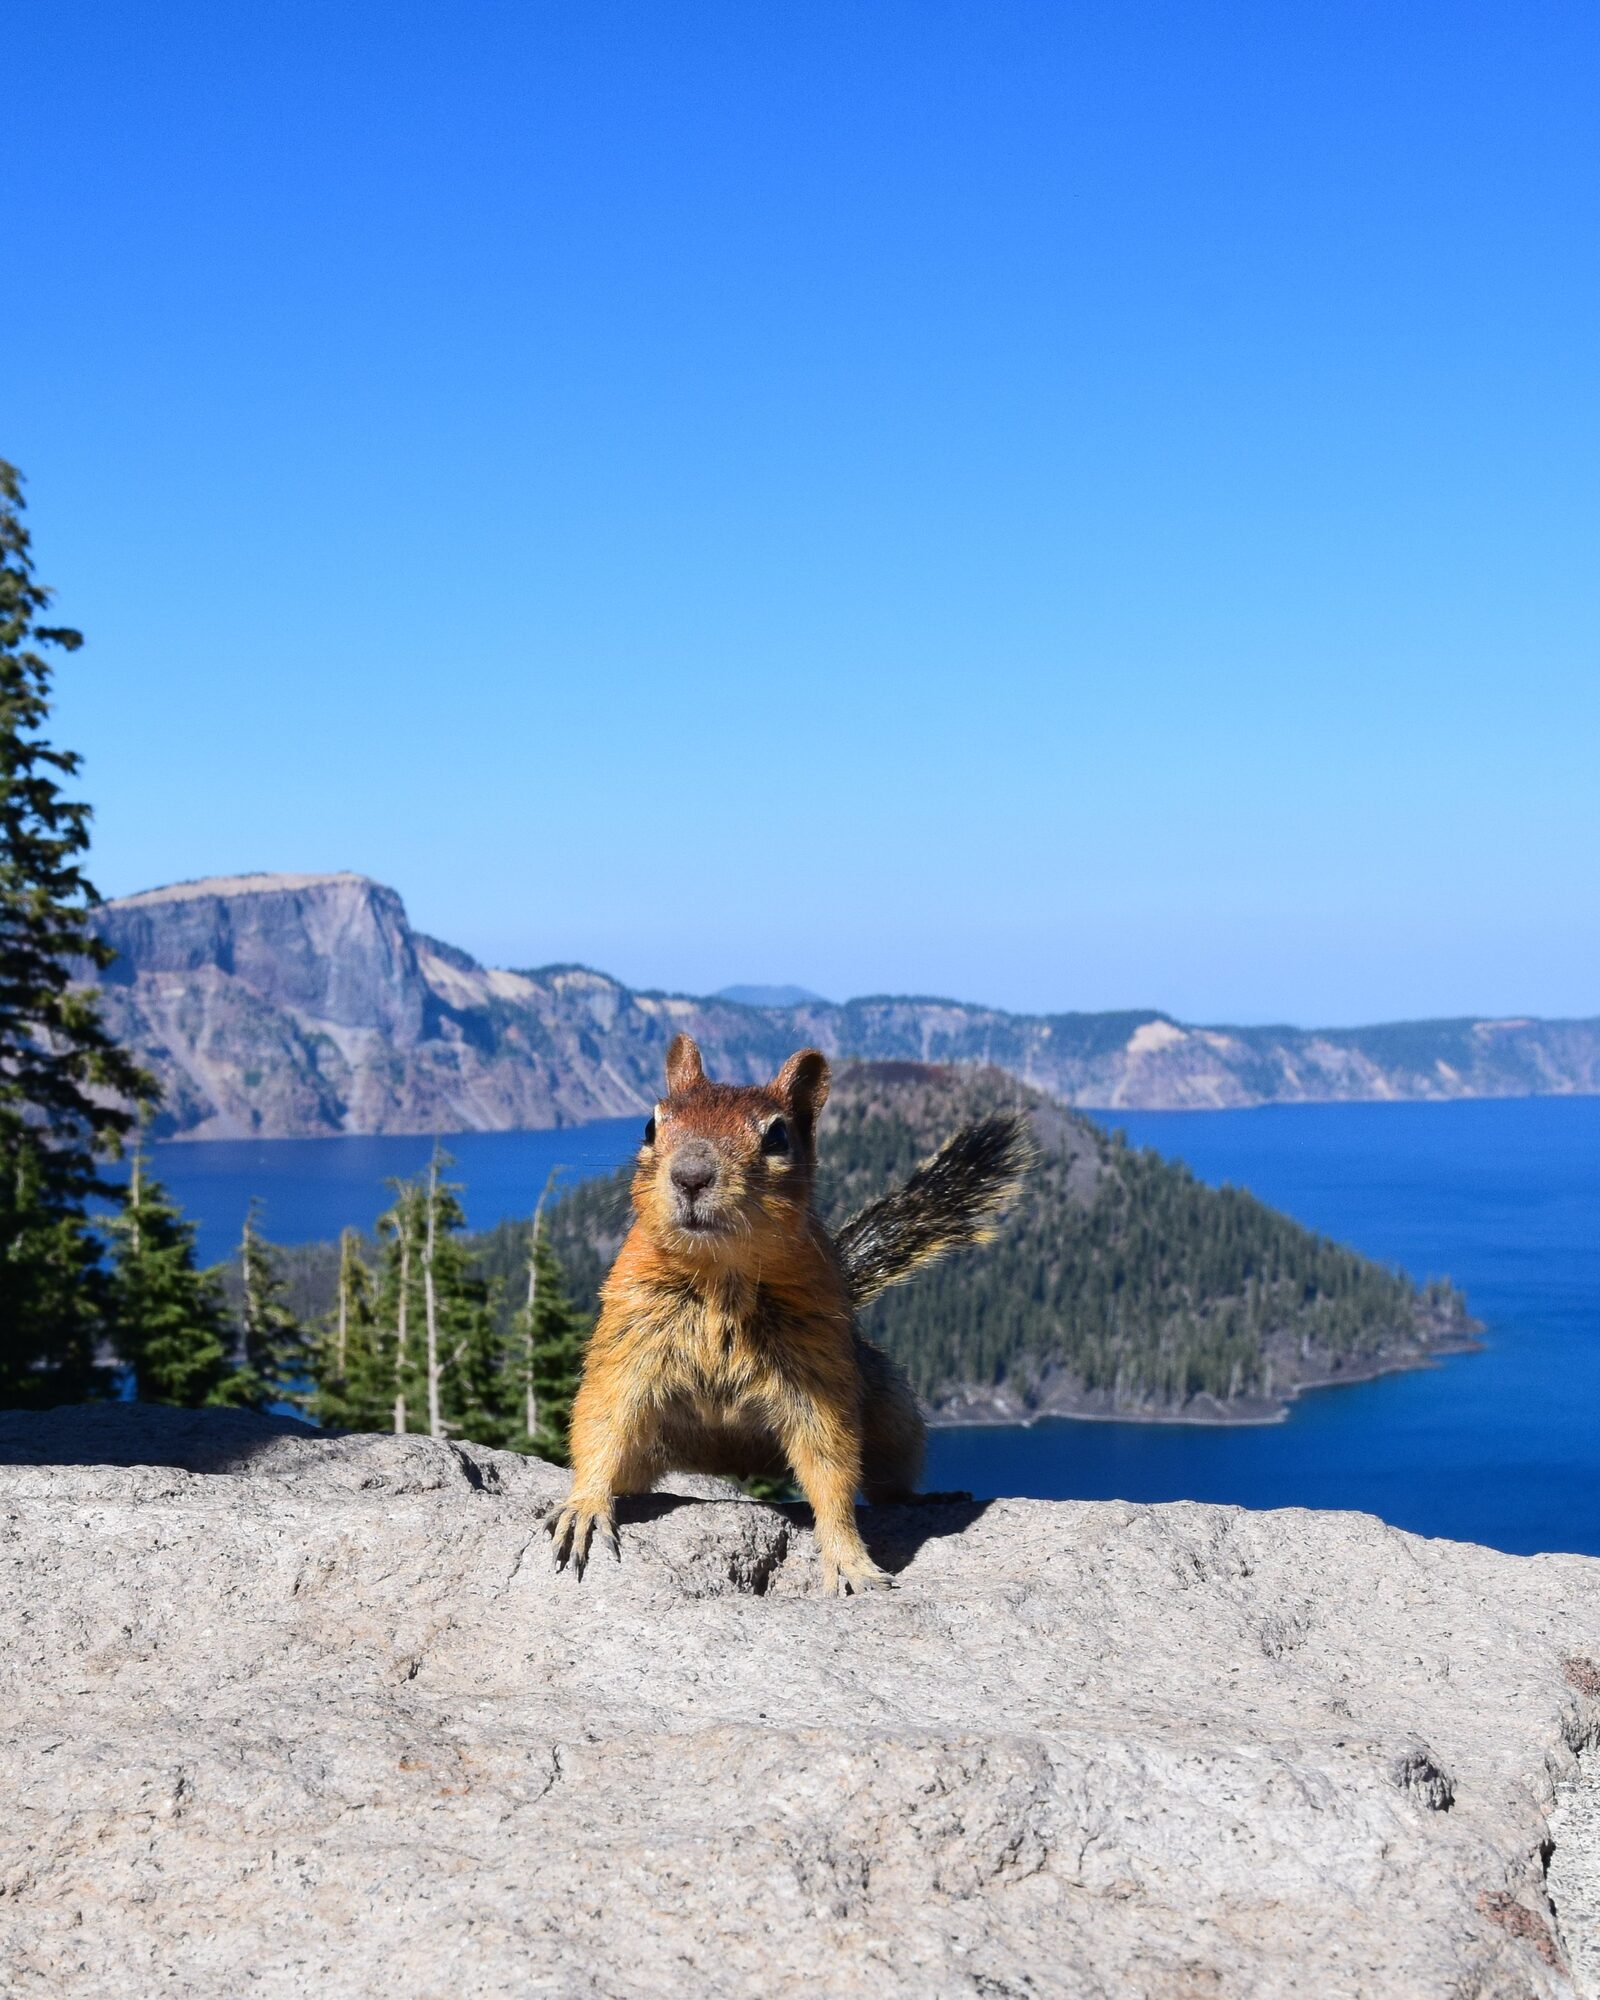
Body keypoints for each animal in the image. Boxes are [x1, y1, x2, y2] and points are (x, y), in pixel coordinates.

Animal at [546, 1034, 1032, 1594]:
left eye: (777, 1136)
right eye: (650, 1125)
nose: (691, 1176)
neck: (720, 1274)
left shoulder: (814, 1367)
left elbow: (830, 1459)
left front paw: (848, 1556)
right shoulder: (631, 1333)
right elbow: (603, 1417)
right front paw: (583, 1507)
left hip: (893, 1410)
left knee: (887, 1483)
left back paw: (925, 1497)